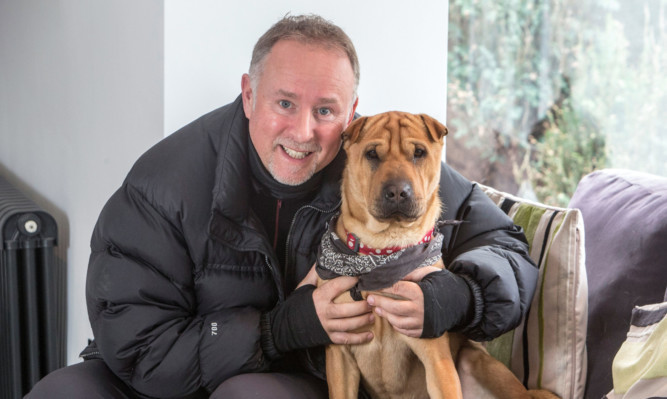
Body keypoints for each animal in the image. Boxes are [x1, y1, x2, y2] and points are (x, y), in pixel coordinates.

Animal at [318, 111, 560, 399]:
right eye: (372, 154)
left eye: (419, 153)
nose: (398, 191)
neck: (384, 248)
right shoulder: (339, 355)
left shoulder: (436, 358)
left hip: (479, 362)